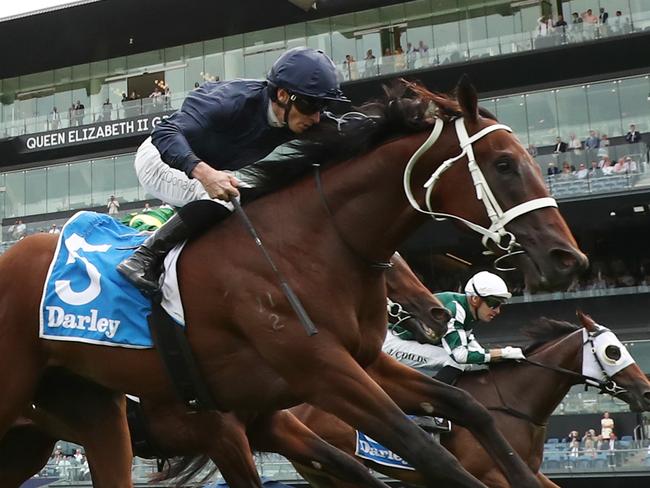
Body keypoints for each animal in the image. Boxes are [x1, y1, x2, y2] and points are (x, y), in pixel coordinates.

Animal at [0, 78, 584, 486]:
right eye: (505, 164)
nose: (568, 257)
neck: (306, 245)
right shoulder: (313, 374)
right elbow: (424, 451)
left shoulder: (357, 365)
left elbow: (467, 411)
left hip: (82, 416)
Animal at [288, 312, 648, 488]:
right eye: (613, 351)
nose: (645, 391)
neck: (513, 401)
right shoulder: (491, 474)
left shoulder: (529, 471)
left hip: (324, 473)